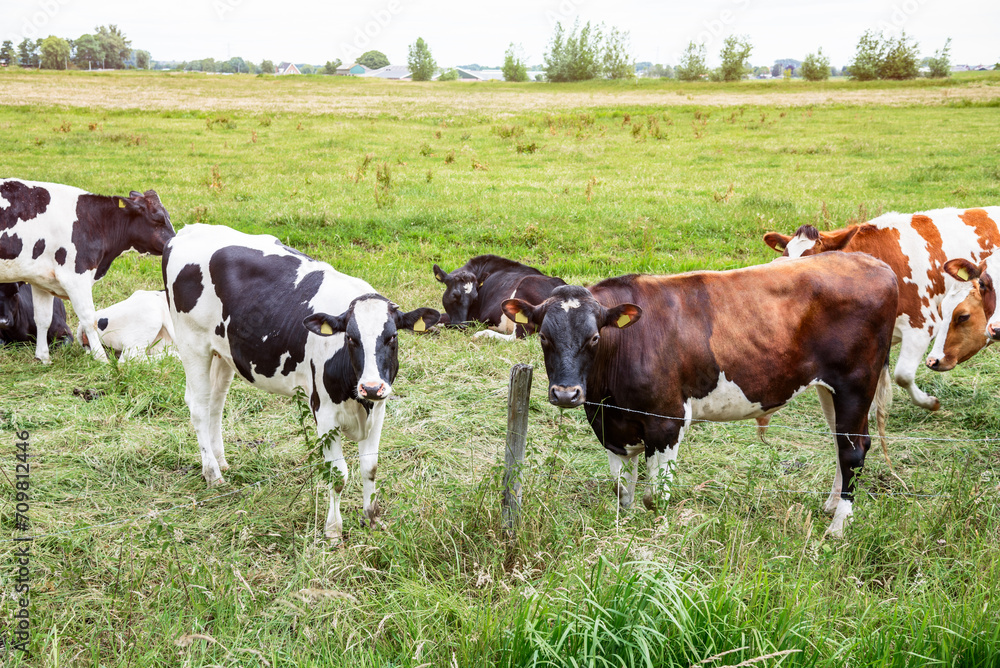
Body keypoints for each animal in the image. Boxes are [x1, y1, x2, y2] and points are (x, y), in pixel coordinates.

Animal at [0, 177, 174, 362]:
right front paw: (102, 359)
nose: (176, 241)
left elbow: (43, 318)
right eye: (158, 219)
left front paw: (43, 358)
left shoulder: (41, 280)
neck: (92, 222)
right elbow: (89, 319)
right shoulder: (76, 277)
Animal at [164, 224, 438, 544]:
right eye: (350, 338)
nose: (370, 387)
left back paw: (221, 462)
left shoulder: (378, 409)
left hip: (223, 353)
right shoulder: (325, 413)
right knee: (198, 406)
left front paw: (372, 520)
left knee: (215, 405)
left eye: (392, 336)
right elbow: (339, 474)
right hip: (192, 345)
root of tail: (189, 229)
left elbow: (370, 468)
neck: (357, 397)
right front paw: (333, 531)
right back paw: (212, 474)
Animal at [432, 253, 568, 342]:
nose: (462, 326)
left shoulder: (473, 318)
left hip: (527, 286)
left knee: (518, 337)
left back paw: (482, 334)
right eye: (455, 295)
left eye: (475, 299)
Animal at [504, 252, 896, 536]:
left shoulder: (667, 421)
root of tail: (873, 263)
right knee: (841, 442)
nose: (566, 394)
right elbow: (622, 491)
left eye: (595, 337)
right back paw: (831, 506)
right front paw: (623, 527)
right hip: (830, 389)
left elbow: (655, 496)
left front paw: (658, 533)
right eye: (543, 337)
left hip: (856, 383)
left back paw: (838, 528)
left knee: (853, 450)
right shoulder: (611, 424)